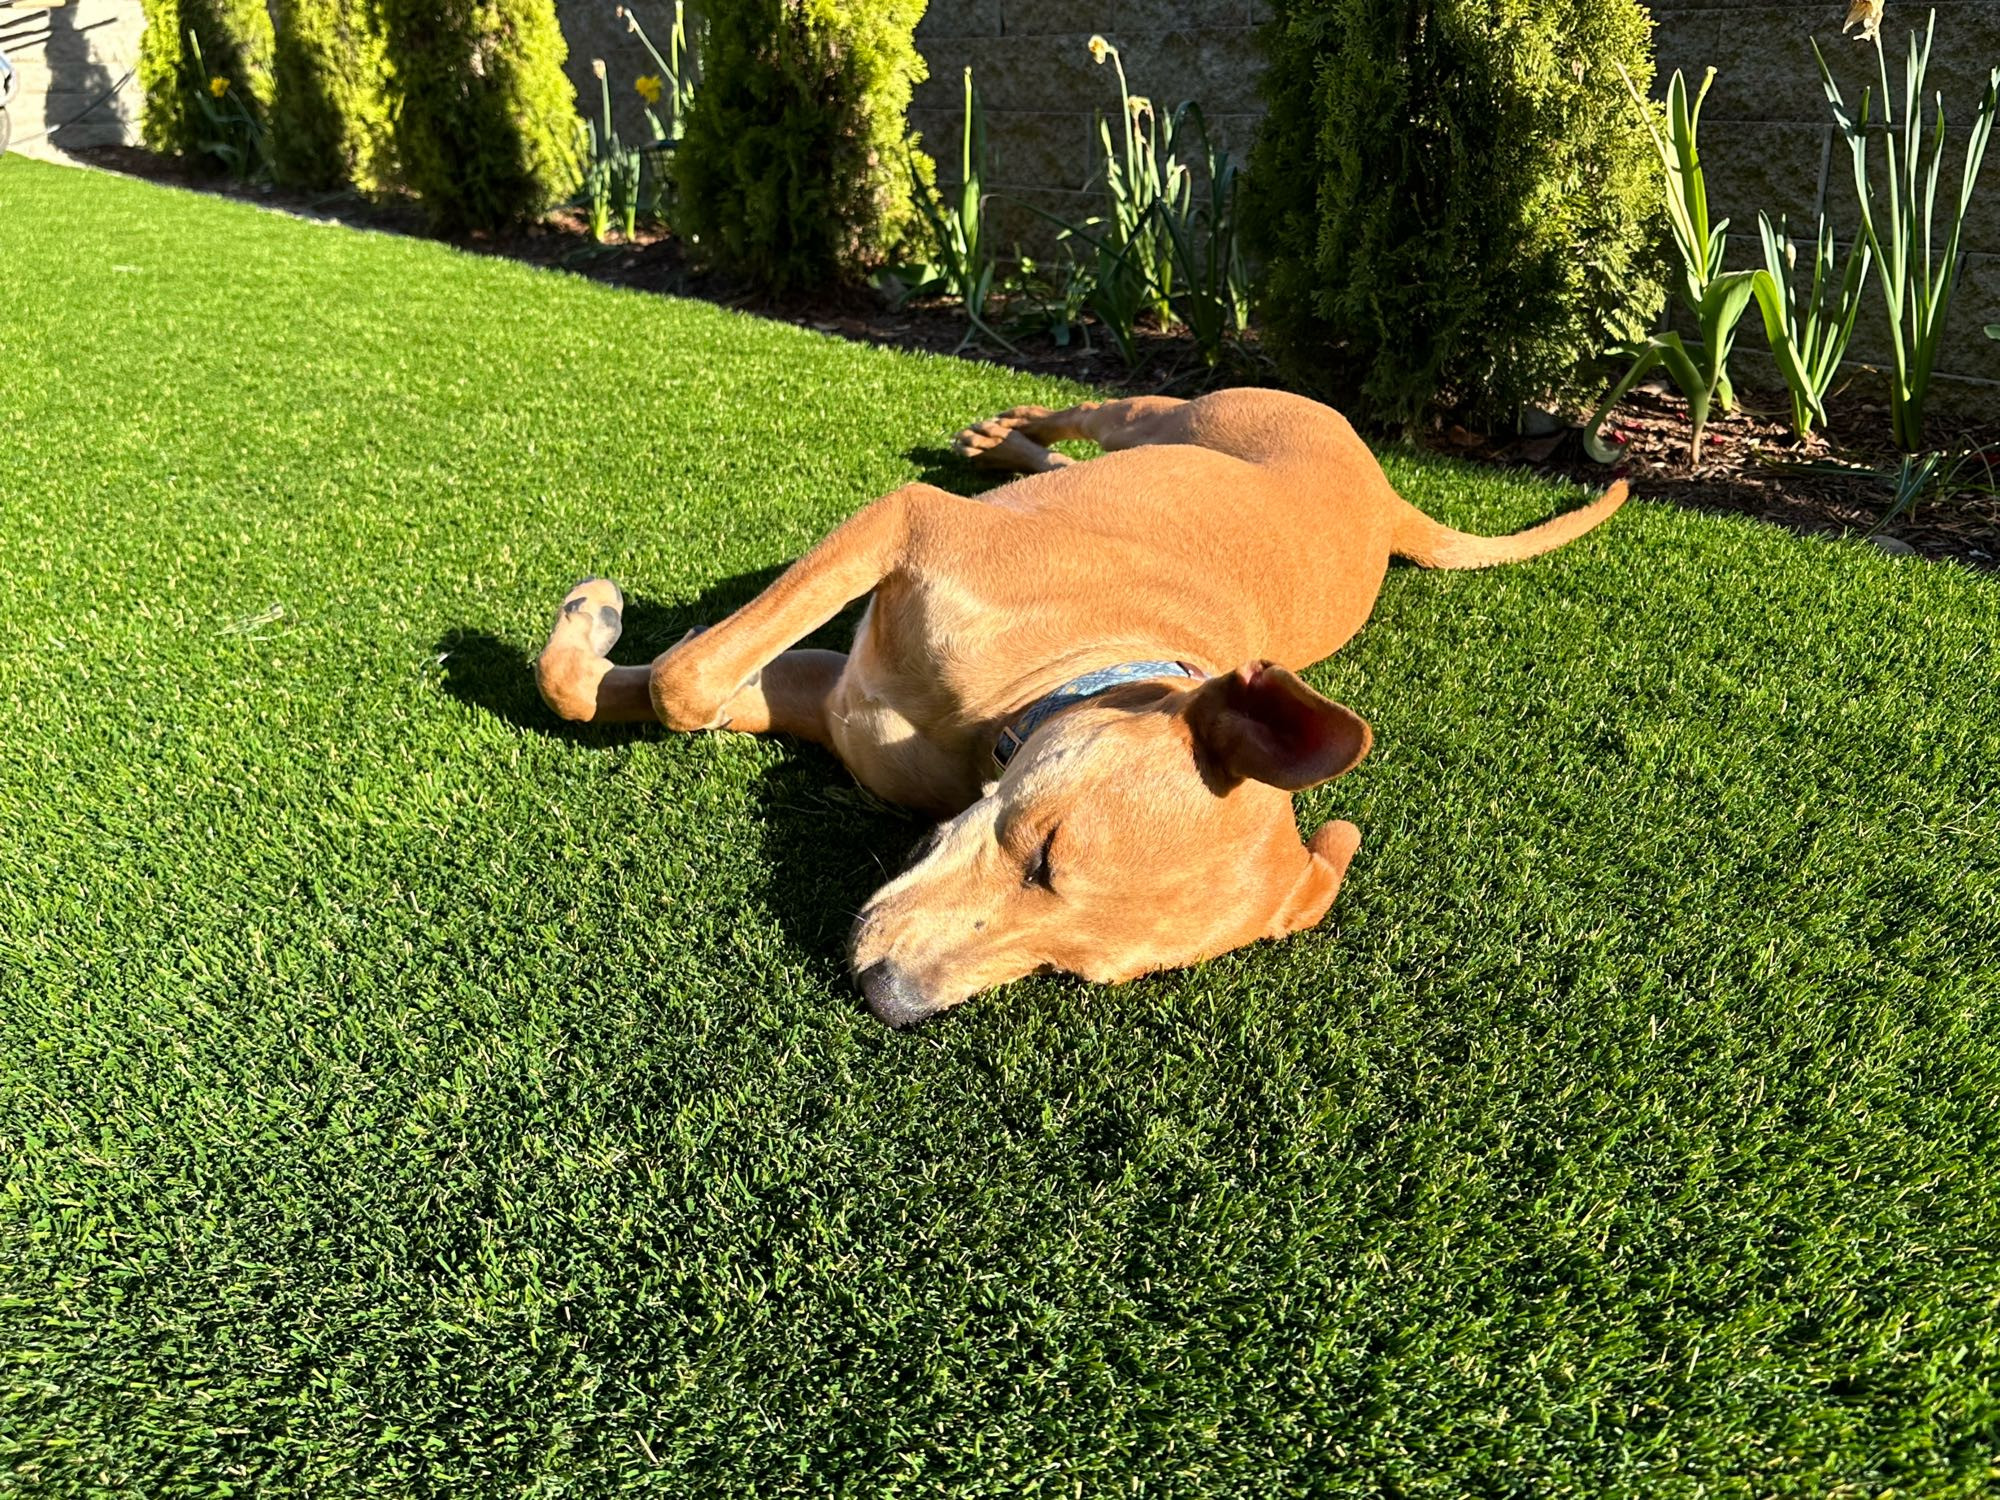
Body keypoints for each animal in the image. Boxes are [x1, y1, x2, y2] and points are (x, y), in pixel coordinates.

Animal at [536, 388, 1624, 1032]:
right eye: (1048, 853)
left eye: (1071, 969)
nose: (887, 1001)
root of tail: (1389, 497)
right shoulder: (906, 521)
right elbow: (676, 682)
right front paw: (595, 619)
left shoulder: (824, 693)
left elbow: (665, 685)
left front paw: (595, 635)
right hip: (1182, 409)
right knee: (1097, 406)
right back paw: (1008, 429)